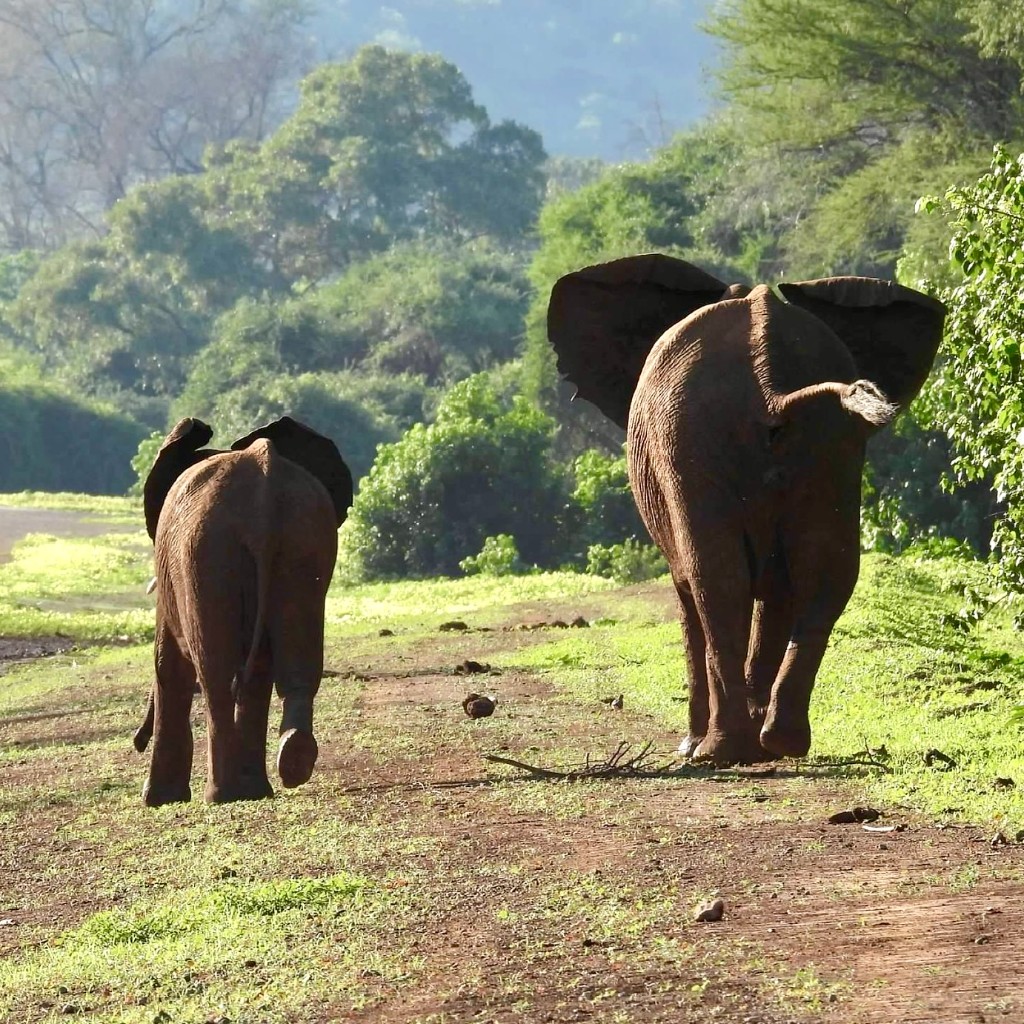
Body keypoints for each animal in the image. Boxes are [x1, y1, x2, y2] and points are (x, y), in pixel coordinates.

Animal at [136, 415, 353, 805]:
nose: (137, 743)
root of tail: (263, 492)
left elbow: (168, 665)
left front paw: (157, 800)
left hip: (204, 551)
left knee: (215, 675)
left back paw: (220, 795)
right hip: (303, 540)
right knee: (289, 666)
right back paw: (286, 765)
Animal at [547, 254, 945, 765]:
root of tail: (771, 384)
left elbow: (694, 593)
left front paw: (690, 745)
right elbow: (782, 587)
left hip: (689, 441)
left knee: (716, 579)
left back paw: (717, 750)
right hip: (830, 442)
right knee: (825, 571)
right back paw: (780, 743)